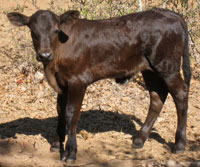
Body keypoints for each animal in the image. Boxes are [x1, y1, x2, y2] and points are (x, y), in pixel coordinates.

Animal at [7, 8, 191, 162]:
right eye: (33, 31)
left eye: (56, 31)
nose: (45, 55)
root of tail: (168, 12)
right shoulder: (61, 84)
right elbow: (60, 112)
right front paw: (56, 144)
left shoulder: (78, 81)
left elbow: (71, 114)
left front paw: (70, 152)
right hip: (149, 69)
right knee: (157, 98)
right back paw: (139, 139)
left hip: (167, 66)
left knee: (181, 94)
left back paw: (179, 144)